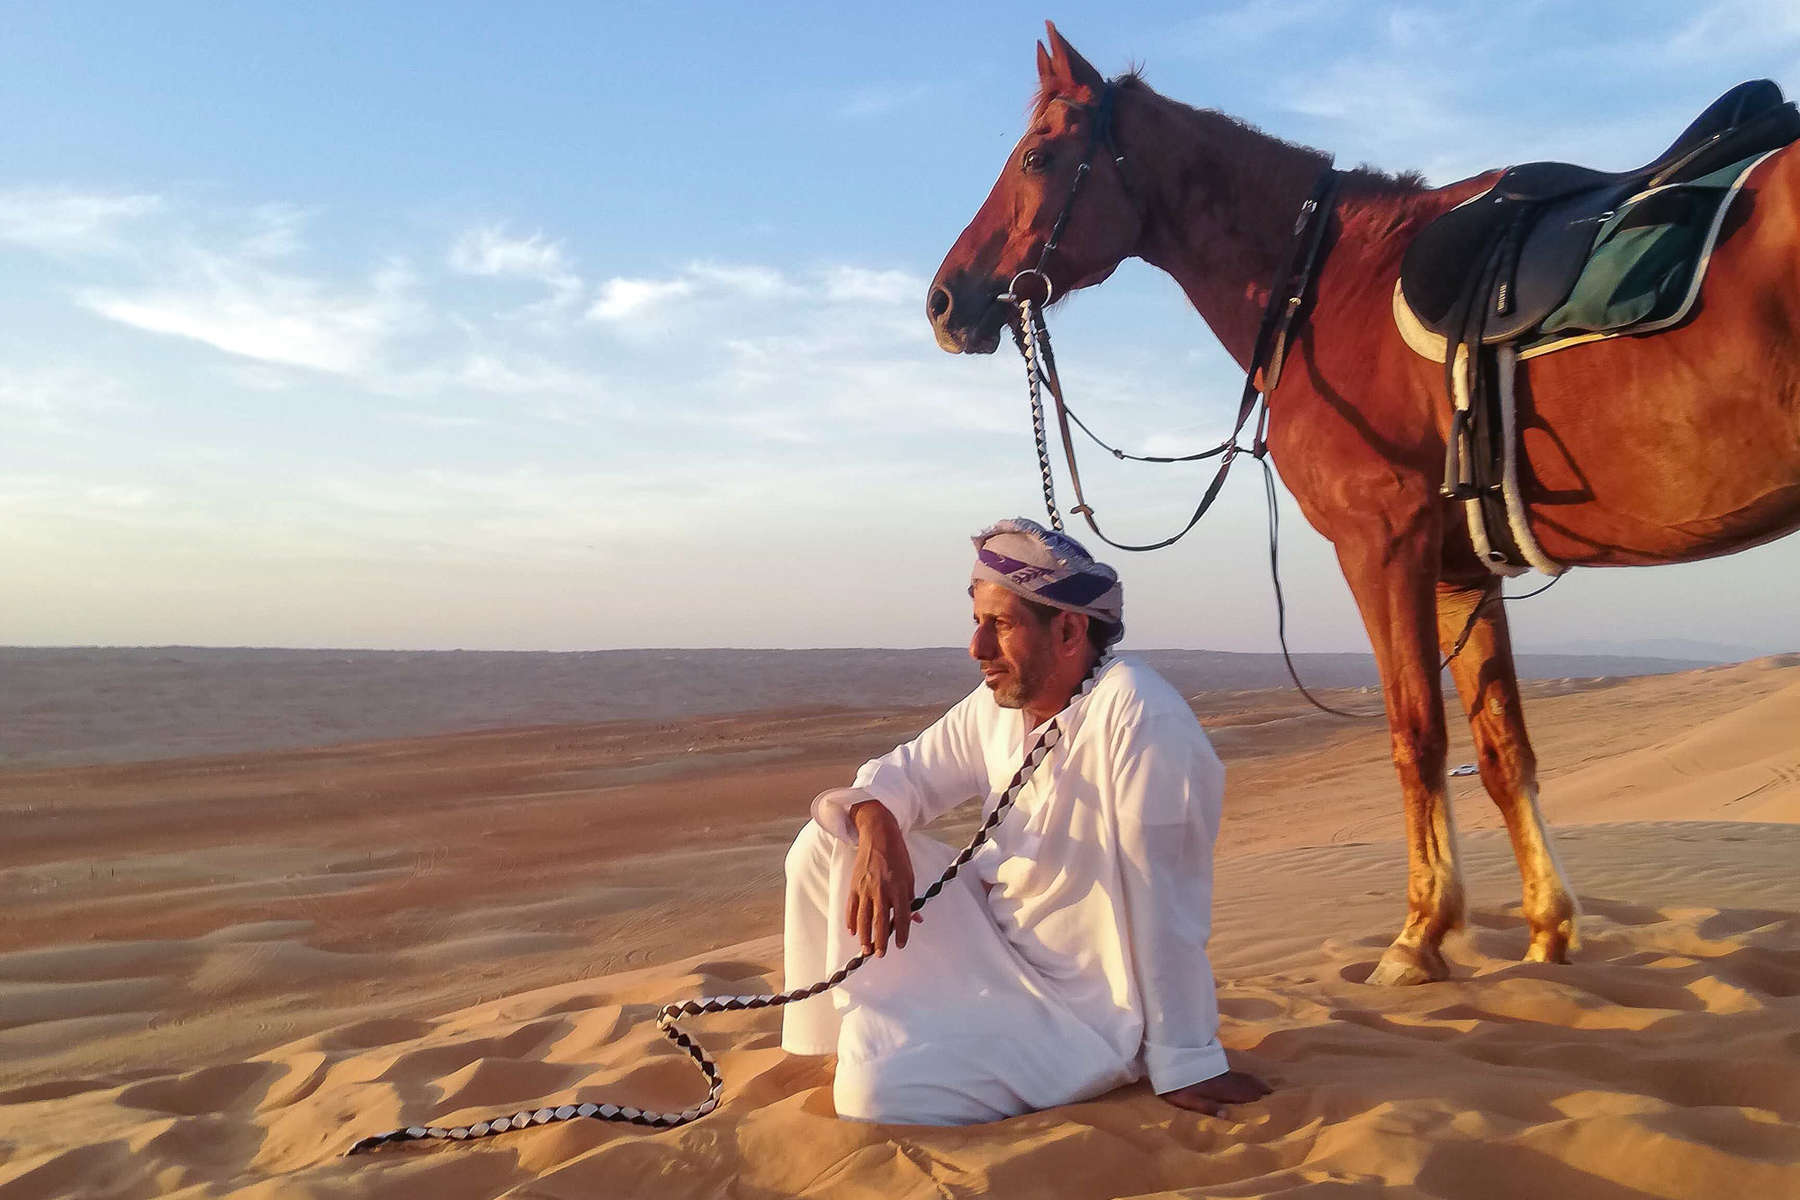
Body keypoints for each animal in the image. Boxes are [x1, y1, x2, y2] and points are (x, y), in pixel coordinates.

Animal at [928, 25, 1800, 985]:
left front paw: (1420, 935)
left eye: (1038, 157)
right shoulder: (1462, 571)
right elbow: (1503, 750)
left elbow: (1415, 736)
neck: (1328, 287)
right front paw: (1546, 931)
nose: (944, 300)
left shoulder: (1382, 547)